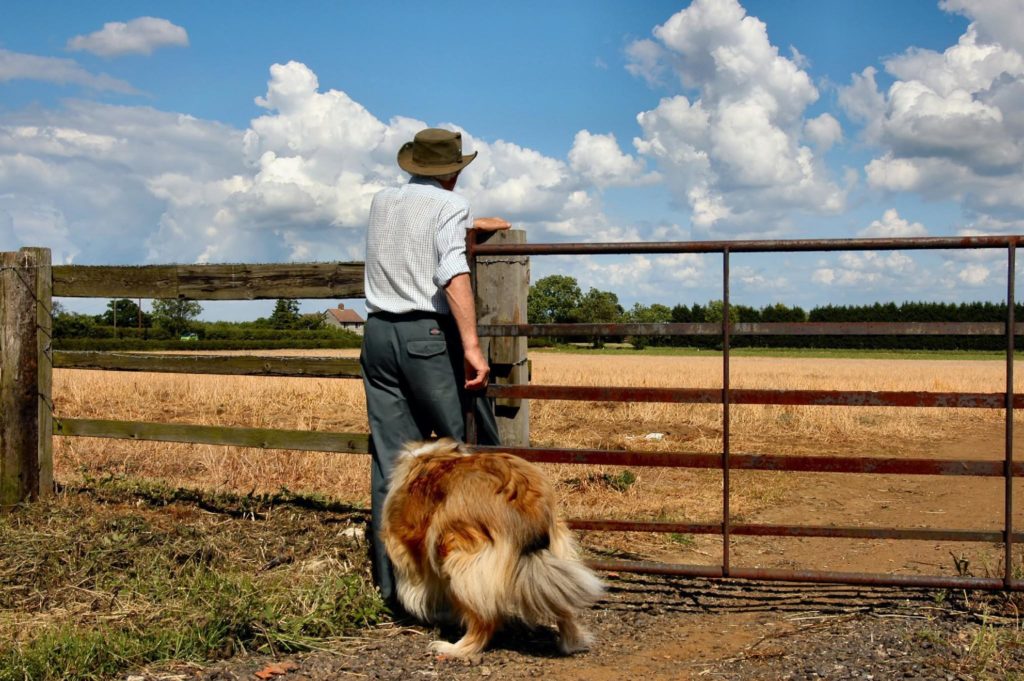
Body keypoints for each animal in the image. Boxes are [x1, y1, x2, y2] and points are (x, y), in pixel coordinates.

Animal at [385, 438, 606, 655]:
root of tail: (524, 502)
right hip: (559, 556)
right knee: (563, 607)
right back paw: (571, 642)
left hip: (461, 559)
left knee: (483, 620)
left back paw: (454, 648)